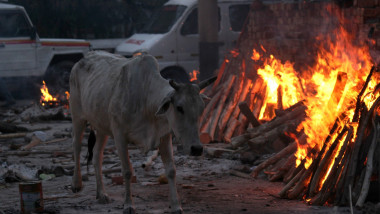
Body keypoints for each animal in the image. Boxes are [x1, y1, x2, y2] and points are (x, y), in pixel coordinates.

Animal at [70, 51, 215, 213]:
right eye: (179, 107)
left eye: (201, 108)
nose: (196, 149)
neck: (146, 101)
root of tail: (82, 60)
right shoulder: (120, 135)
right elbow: (127, 171)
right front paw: (128, 205)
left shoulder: (164, 136)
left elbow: (171, 170)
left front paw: (176, 206)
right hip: (77, 116)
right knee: (76, 146)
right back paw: (76, 183)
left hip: (101, 126)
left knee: (97, 155)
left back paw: (101, 194)